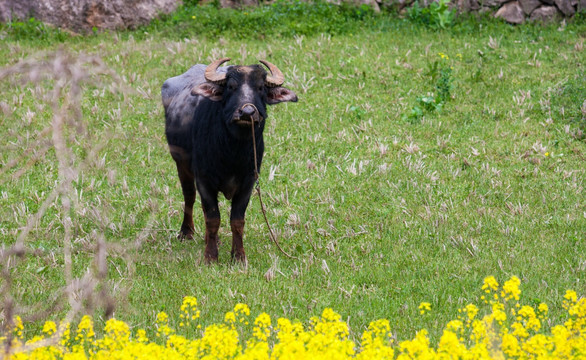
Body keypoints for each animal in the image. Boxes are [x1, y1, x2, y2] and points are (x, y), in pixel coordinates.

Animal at [161, 58, 296, 262]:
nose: (247, 112)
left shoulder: (249, 182)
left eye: (261, 88)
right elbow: (213, 218)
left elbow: (237, 220)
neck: (232, 151)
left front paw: (238, 256)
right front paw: (210, 256)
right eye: (231, 86)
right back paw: (186, 232)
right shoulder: (204, 179)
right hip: (181, 164)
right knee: (189, 196)